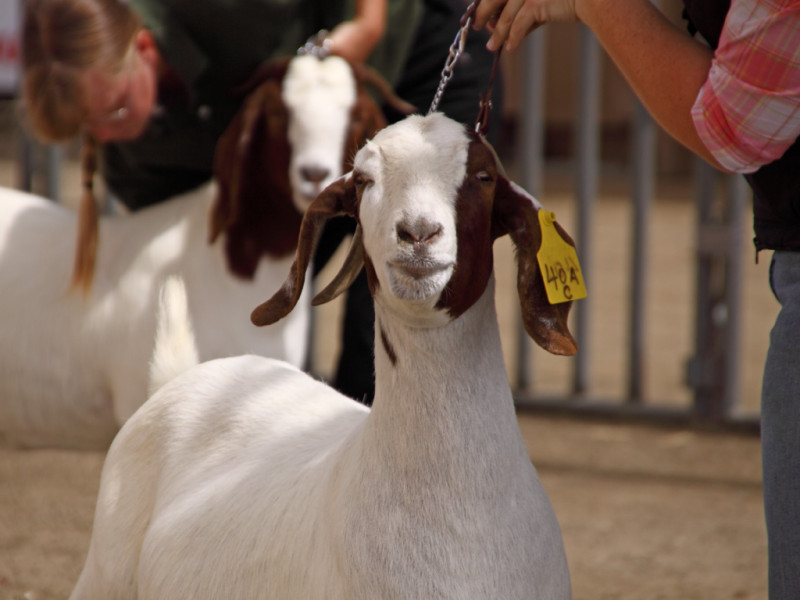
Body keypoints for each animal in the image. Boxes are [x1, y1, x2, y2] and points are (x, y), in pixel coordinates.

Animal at [70, 112, 576, 599]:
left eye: (484, 176)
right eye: (364, 180)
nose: (418, 233)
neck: (459, 521)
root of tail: (176, 378)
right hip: (101, 577)